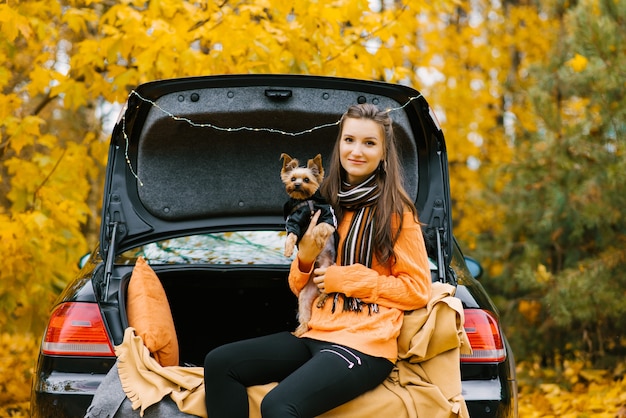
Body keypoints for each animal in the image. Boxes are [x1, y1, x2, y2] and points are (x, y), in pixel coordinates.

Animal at [280, 153, 334, 336]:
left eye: (306, 179)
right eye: (292, 178)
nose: (296, 184)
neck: (308, 201)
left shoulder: (328, 218)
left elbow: (319, 227)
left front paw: (318, 238)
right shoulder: (294, 221)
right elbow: (291, 235)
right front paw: (288, 249)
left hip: (328, 272)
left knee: (329, 291)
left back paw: (322, 299)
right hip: (304, 297)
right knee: (305, 317)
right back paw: (299, 331)